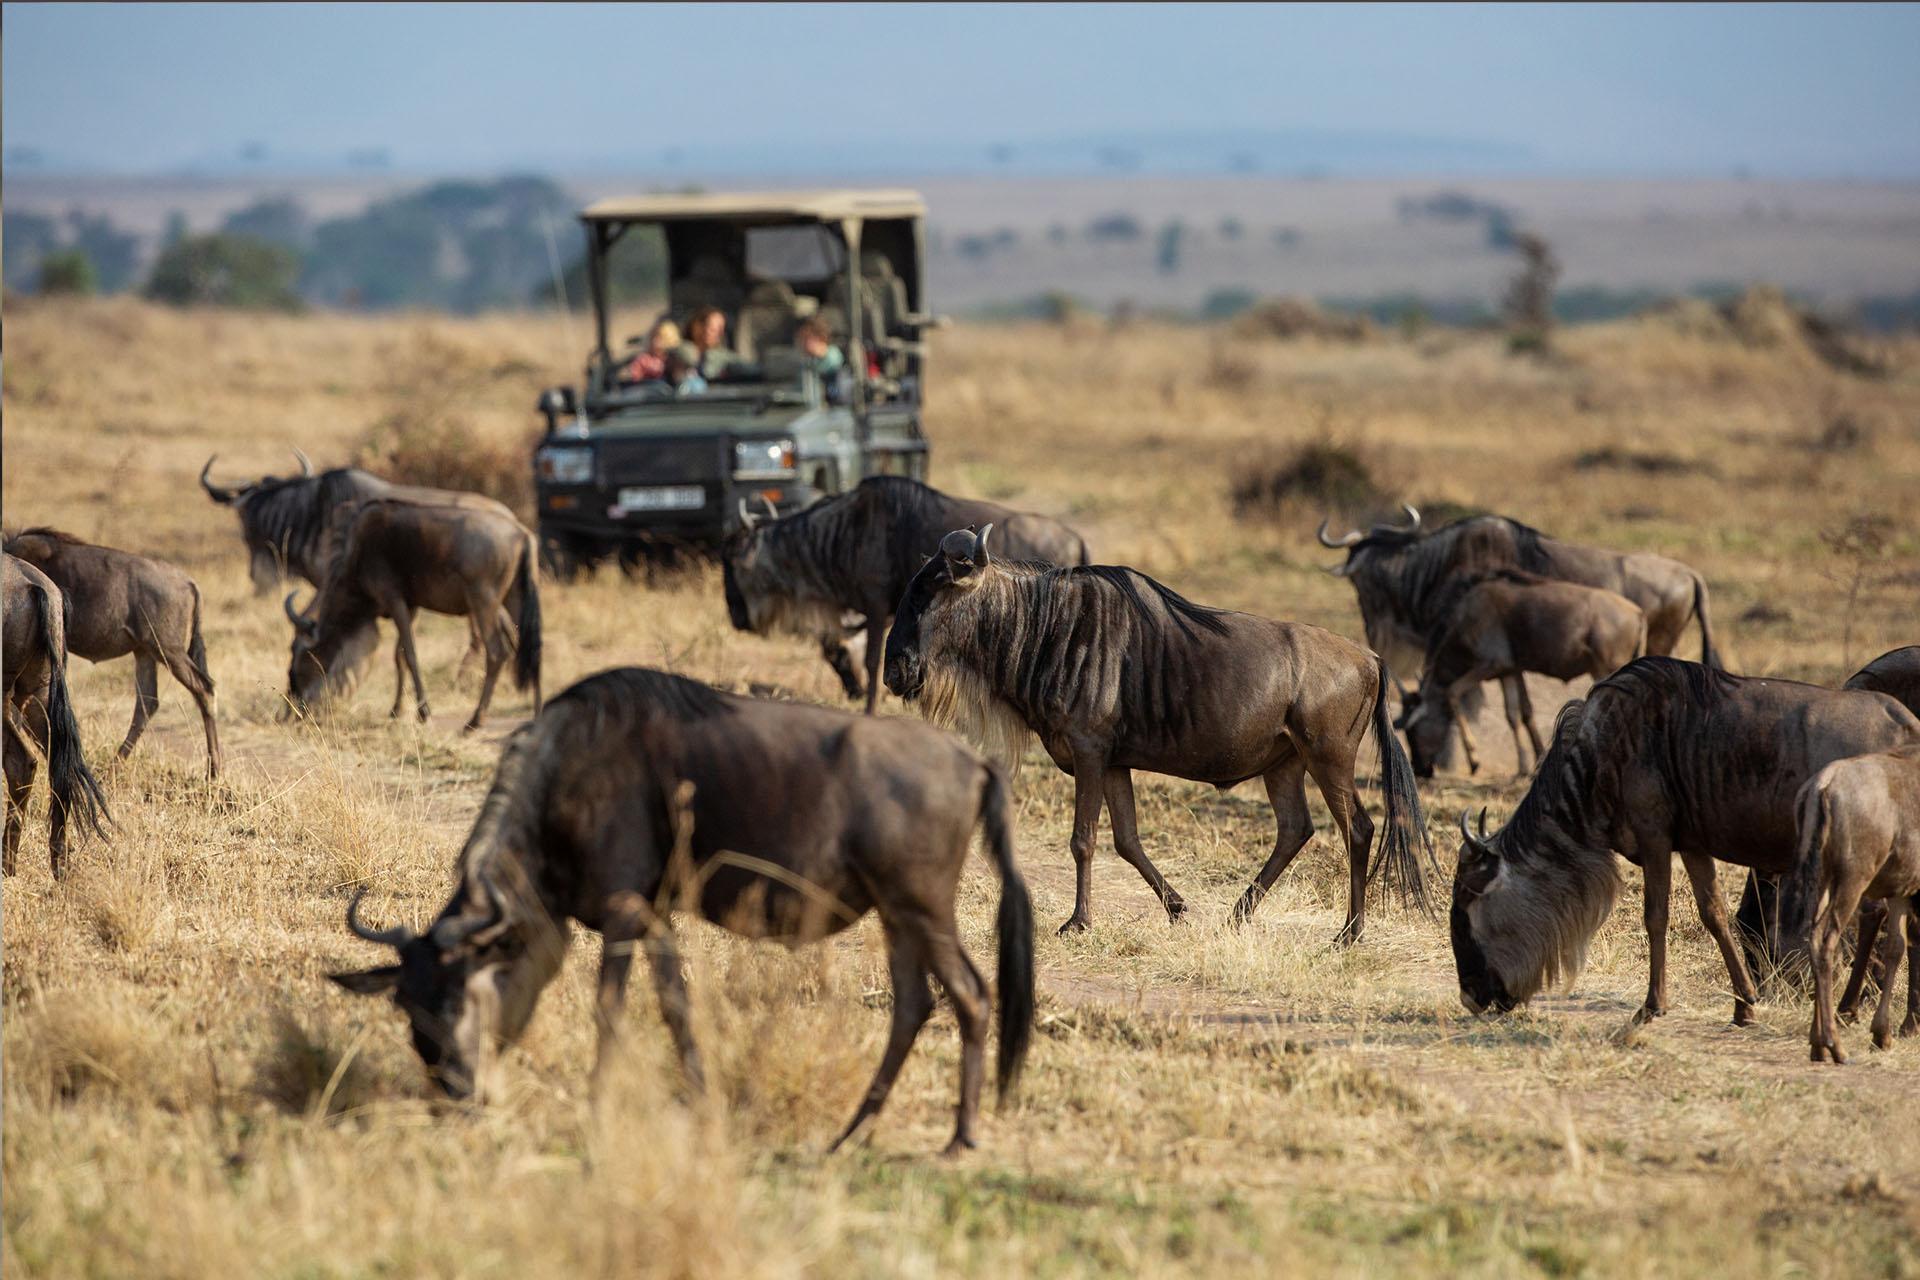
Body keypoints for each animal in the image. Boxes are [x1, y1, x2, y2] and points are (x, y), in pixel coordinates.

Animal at [3, 529, 219, 782]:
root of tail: (188, 582)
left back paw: (213, 771)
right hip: (144, 652)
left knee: (203, 689)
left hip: (168, 651)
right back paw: (113, 767)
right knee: (147, 703)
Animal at [337, 667, 1044, 1159]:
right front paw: (704, 1103)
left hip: (922, 910)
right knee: (914, 1006)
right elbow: (677, 1007)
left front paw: (598, 1109)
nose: (453, 1092)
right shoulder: (655, 919)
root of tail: (972, 759)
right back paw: (849, 1136)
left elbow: (610, 1009)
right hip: (897, 918)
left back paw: (959, 1139)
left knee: (971, 997)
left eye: (460, 992)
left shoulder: (623, 914)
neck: (566, 769)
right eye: (404, 1003)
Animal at [1397, 571, 1651, 775]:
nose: (1419, 769)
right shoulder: (1510, 671)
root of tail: (1638, 613)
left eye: (1412, 731)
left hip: (1604, 670)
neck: (1466, 618)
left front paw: (1474, 759)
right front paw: (1528, 764)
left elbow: (1452, 693)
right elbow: (1518, 714)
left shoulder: (1489, 665)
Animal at [1797, 752, 1920, 1059]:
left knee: (1813, 938)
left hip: (1822, 880)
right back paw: (1833, 1045)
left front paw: (1882, 1033)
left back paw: (1817, 1044)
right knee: (1826, 941)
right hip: (1852, 881)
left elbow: (1896, 948)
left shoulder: (1901, 891)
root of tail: (1824, 785)